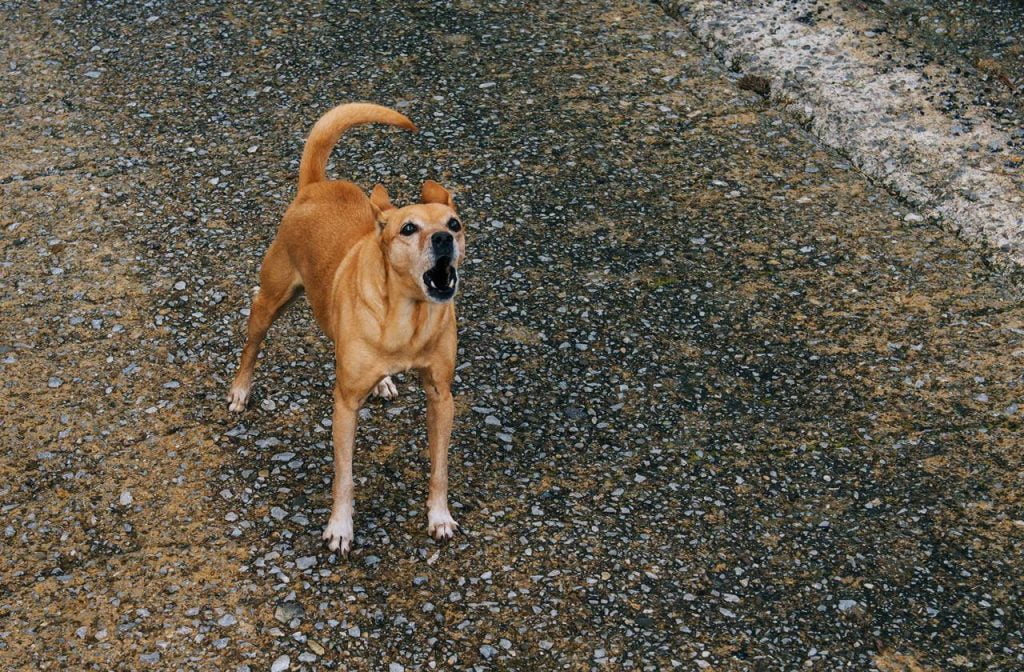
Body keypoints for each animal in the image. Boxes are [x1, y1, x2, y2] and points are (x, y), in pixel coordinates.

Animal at [227, 103, 464, 557]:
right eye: (409, 228)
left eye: (455, 224)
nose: (443, 238)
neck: (406, 316)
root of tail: (316, 185)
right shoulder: (345, 405)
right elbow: (344, 476)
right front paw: (340, 527)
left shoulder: (440, 396)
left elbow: (440, 467)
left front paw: (439, 517)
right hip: (270, 301)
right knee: (252, 344)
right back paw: (240, 390)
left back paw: (384, 381)